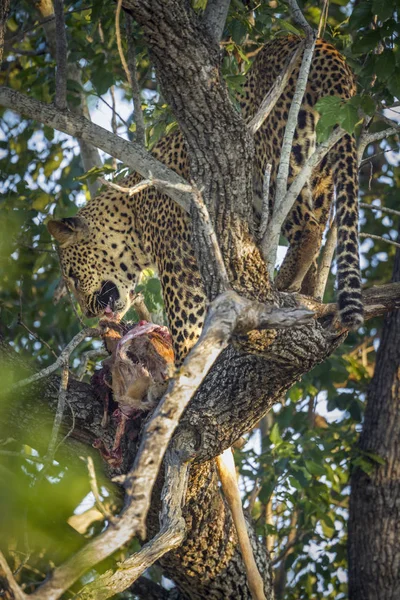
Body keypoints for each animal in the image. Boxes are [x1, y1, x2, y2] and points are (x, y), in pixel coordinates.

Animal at [48, 38, 364, 366]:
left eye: (72, 277)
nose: (88, 313)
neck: (131, 216)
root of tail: (323, 47)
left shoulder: (177, 266)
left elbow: (185, 332)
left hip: (278, 153)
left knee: (308, 228)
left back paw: (282, 286)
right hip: (322, 165)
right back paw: (308, 294)